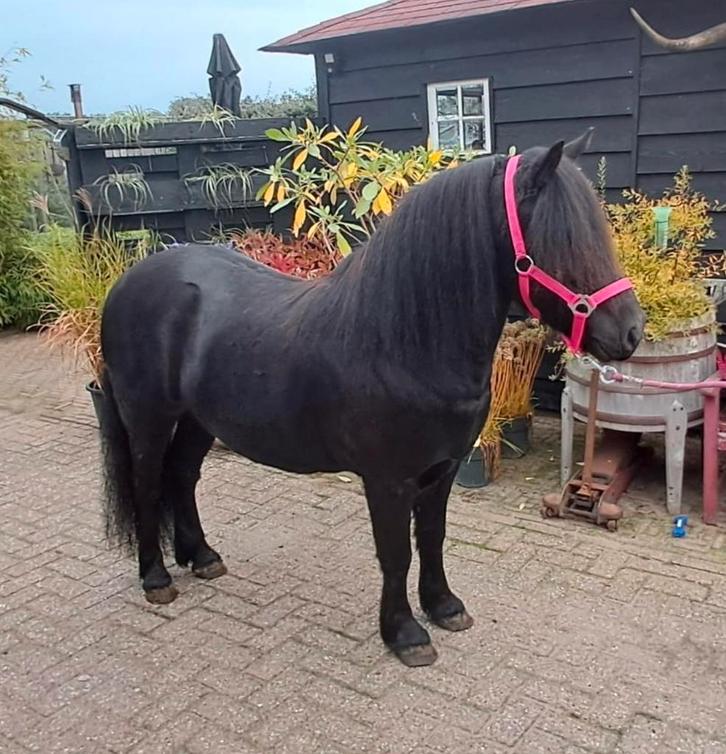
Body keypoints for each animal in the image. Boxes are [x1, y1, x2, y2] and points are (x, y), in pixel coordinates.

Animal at [98, 130, 645, 667]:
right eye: (561, 239)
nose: (632, 332)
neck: (403, 344)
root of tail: (131, 280)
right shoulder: (388, 480)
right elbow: (395, 552)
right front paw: (404, 634)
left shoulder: (443, 469)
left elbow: (432, 537)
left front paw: (444, 607)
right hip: (147, 418)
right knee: (148, 481)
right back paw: (156, 578)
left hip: (199, 420)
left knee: (182, 475)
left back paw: (202, 557)